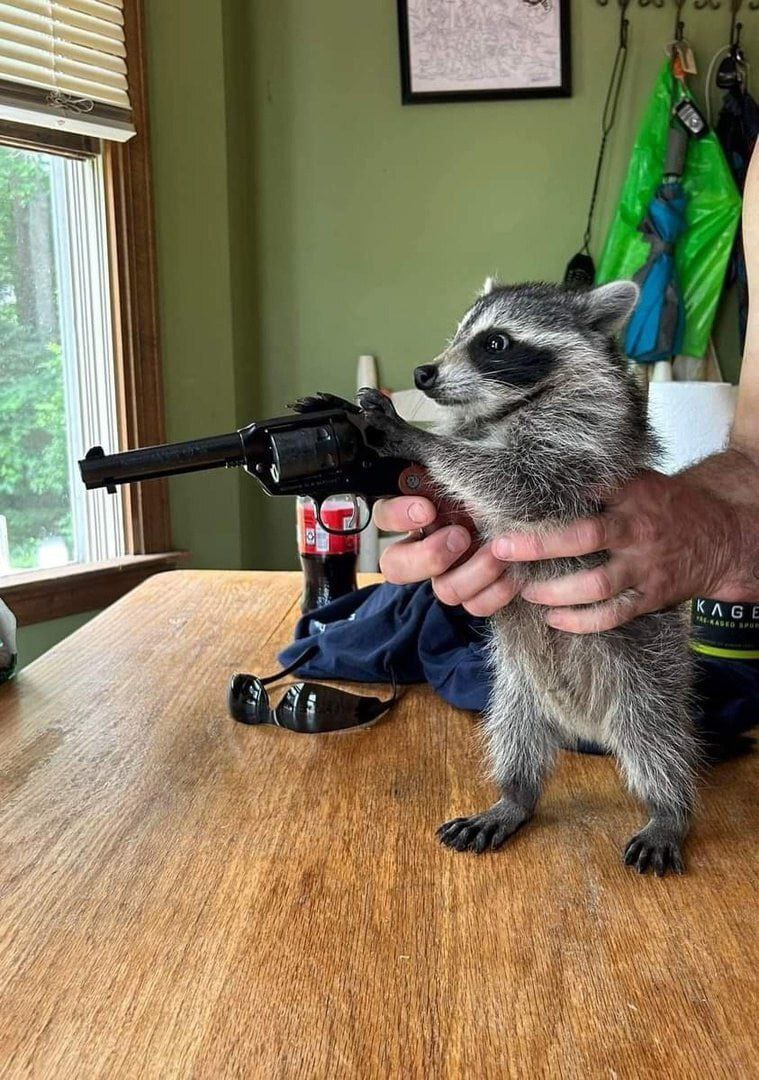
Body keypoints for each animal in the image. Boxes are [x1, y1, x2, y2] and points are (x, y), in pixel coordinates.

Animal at [358, 279, 698, 877]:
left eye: (494, 343)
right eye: (458, 332)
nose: (423, 374)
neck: (505, 409)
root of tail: (585, 721)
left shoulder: (584, 440)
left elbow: (523, 480)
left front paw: (420, 439)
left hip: (647, 665)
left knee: (656, 735)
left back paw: (668, 807)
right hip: (517, 685)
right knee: (515, 732)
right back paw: (515, 793)